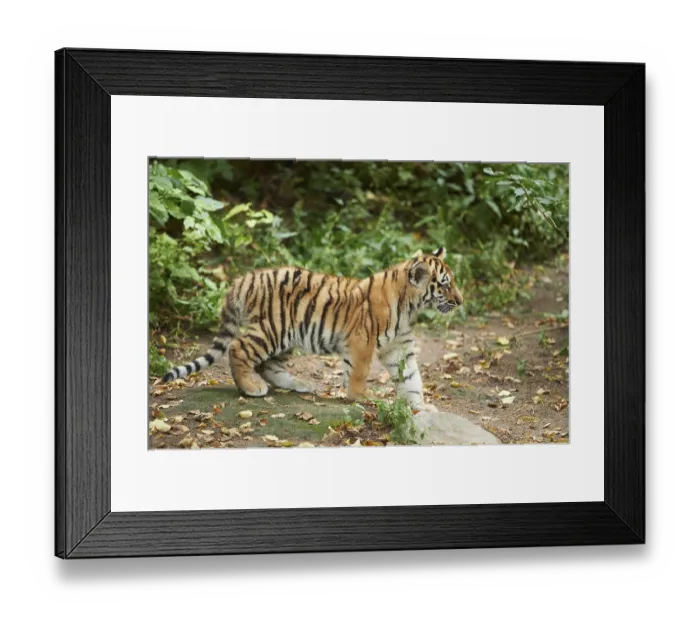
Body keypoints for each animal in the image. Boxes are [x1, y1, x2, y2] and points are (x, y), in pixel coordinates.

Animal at [159, 247, 463, 412]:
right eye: (445, 284)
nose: (461, 301)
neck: (410, 306)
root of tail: (244, 279)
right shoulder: (361, 342)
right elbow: (359, 375)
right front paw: (363, 398)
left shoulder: (399, 347)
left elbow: (412, 379)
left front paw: (419, 406)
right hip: (273, 328)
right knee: (238, 348)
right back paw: (251, 388)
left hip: (288, 337)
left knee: (268, 365)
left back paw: (299, 385)